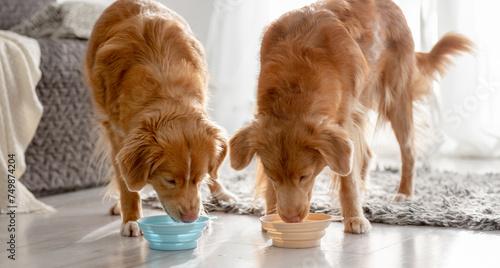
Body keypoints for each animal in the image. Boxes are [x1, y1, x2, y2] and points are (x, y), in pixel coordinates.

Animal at [85, 0, 234, 237]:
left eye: (199, 178)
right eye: (170, 180)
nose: (191, 218)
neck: (165, 86)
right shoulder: (117, 135)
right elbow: (127, 185)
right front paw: (131, 219)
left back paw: (223, 193)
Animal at [230, 0, 472, 232]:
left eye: (304, 176)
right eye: (273, 177)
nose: (290, 219)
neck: (294, 81)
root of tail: (392, 5)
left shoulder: (343, 123)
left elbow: (347, 178)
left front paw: (355, 218)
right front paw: (271, 216)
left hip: (395, 99)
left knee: (408, 152)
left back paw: (404, 192)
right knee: (366, 155)